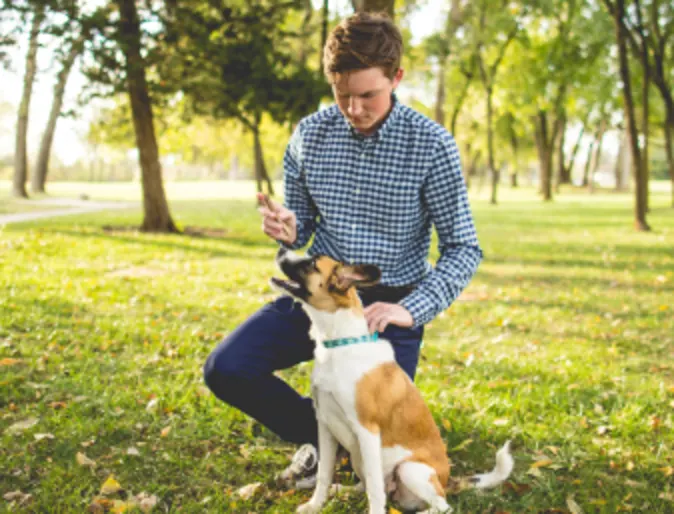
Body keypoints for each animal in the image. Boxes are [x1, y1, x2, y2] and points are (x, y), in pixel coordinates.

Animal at [270, 246, 512, 510]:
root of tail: (447, 481)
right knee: (366, 485)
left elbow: (375, 491)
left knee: (441, 506)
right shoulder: (324, 425)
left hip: (409, 470)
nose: (281, 248)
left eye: (312, 262)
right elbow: (324, 474)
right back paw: (342, 489)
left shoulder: (367, 431)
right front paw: (315, 505)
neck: (340, 345)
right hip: (359, 459)